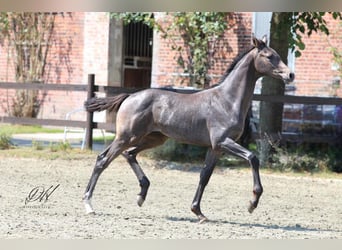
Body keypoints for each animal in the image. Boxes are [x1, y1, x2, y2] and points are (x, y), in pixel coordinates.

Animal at [82, 35, 294, 223]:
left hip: (154, 138)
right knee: (103, 160)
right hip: (126, 136)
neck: (227, 100)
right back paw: (88, 204)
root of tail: (129, 97)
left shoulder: (216, 148)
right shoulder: (223, 141)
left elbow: (205, 176)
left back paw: (141, 195)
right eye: (268, 56)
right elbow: (253, 158)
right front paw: (252, 203)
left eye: (277, 54)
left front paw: (198, 212)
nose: (290, 75)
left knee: (130, 154)